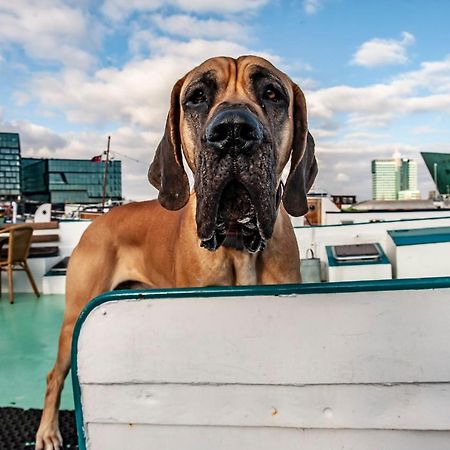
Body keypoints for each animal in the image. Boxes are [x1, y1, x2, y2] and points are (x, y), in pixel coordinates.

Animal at [34, 56, 316, 450]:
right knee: (54, 375)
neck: (237, 244)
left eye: (273, 94)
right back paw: (47, 431)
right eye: (196, 97)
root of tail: (97, 220)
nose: (233, 132)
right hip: (74, 316)